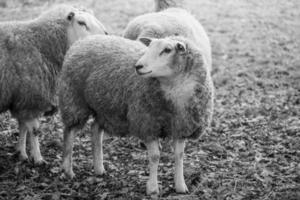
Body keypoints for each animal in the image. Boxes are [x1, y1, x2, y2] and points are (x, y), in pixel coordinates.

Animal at [0, 4, 108, 164]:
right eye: (81, 22)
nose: (105, 36)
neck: (39, 43)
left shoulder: (22, 98)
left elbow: (22, 126)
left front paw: (21, 152)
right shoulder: (31, 97)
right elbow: (34, 130)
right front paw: (38, 158)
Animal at [58, 34, 213, 195]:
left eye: (167, 50)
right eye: (149, 47)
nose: (138, 66)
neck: (174, 88)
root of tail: (87, 39)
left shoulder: (182, 126)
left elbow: (179, 155)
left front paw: (181, 186)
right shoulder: (147, 124)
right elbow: (155, 156)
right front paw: (152, 188)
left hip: (105, 107)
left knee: (95, 129)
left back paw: (99, 168)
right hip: (74, 99)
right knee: (69, 132)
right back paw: (68, 170)